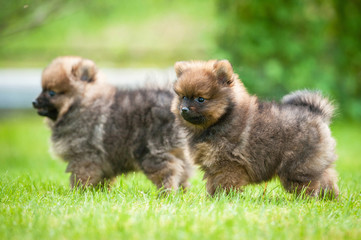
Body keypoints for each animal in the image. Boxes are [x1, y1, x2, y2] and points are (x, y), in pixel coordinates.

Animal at [33, 56, 191, 189]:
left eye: (51, 92)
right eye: (42, 89)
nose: (34, 102)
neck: (82, 103)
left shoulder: (84, 155)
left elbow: (80, 177)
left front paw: (77, 193)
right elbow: (102, 179)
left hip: (152, 151)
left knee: (168, 171)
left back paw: (165, 194)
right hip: (178, 151)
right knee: (184, 171)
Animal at [171, 59, 338, 198]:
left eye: (200, 99)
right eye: (183, 97)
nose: (184, 109)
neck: (222, 118)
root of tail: (317, 113)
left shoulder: (227, 163)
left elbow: (225, 183)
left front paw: (225, 199)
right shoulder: (213, 165)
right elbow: (212, 183)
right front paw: (212, 199)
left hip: (297, 165)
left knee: (307, 184)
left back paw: (305, 200)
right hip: (317, 162)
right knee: (327, 178)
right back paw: (330, 198)